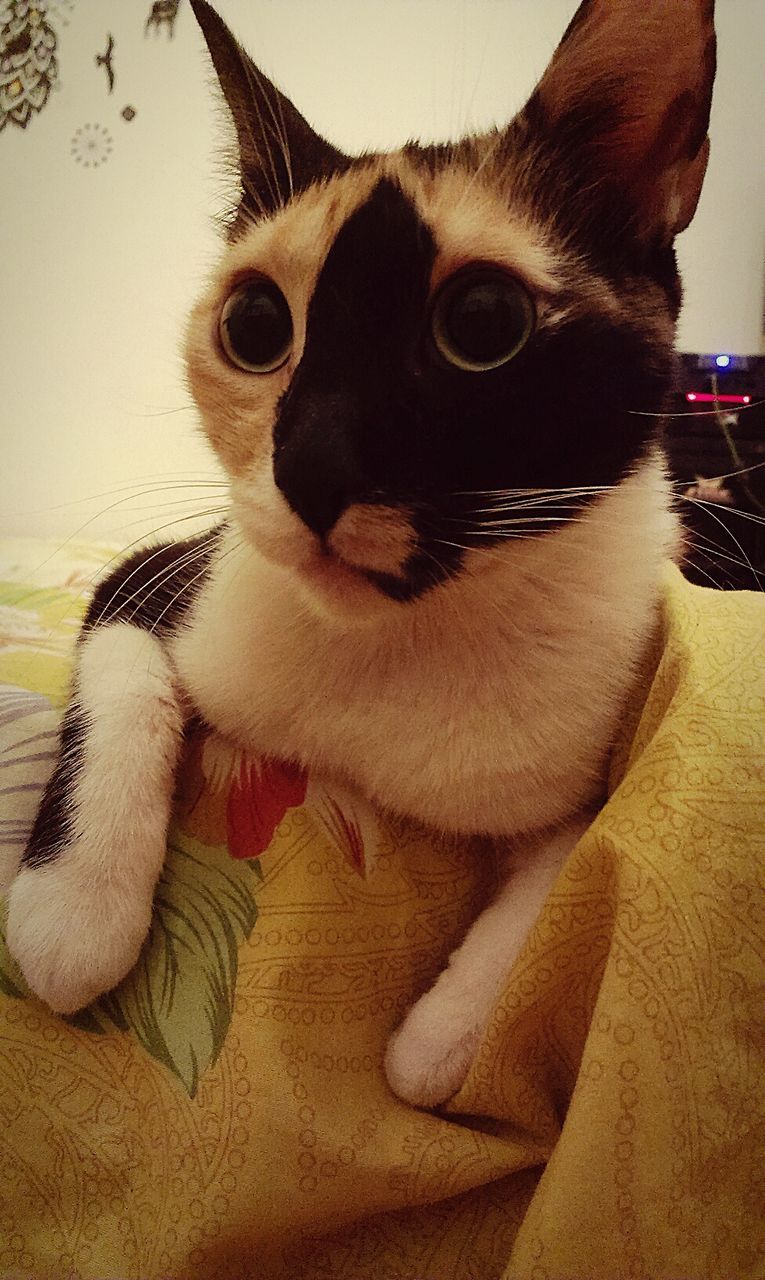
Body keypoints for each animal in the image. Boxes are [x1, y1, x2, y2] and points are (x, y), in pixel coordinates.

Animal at [4, 0, 721, 1105]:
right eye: (256, 324)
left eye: (484, 322)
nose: (311, 465)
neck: (392, 643)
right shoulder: (154, 575)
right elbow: (125, 696)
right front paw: (74, 912)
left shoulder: (588, 779)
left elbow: (551, 891)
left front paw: (440, 1039)